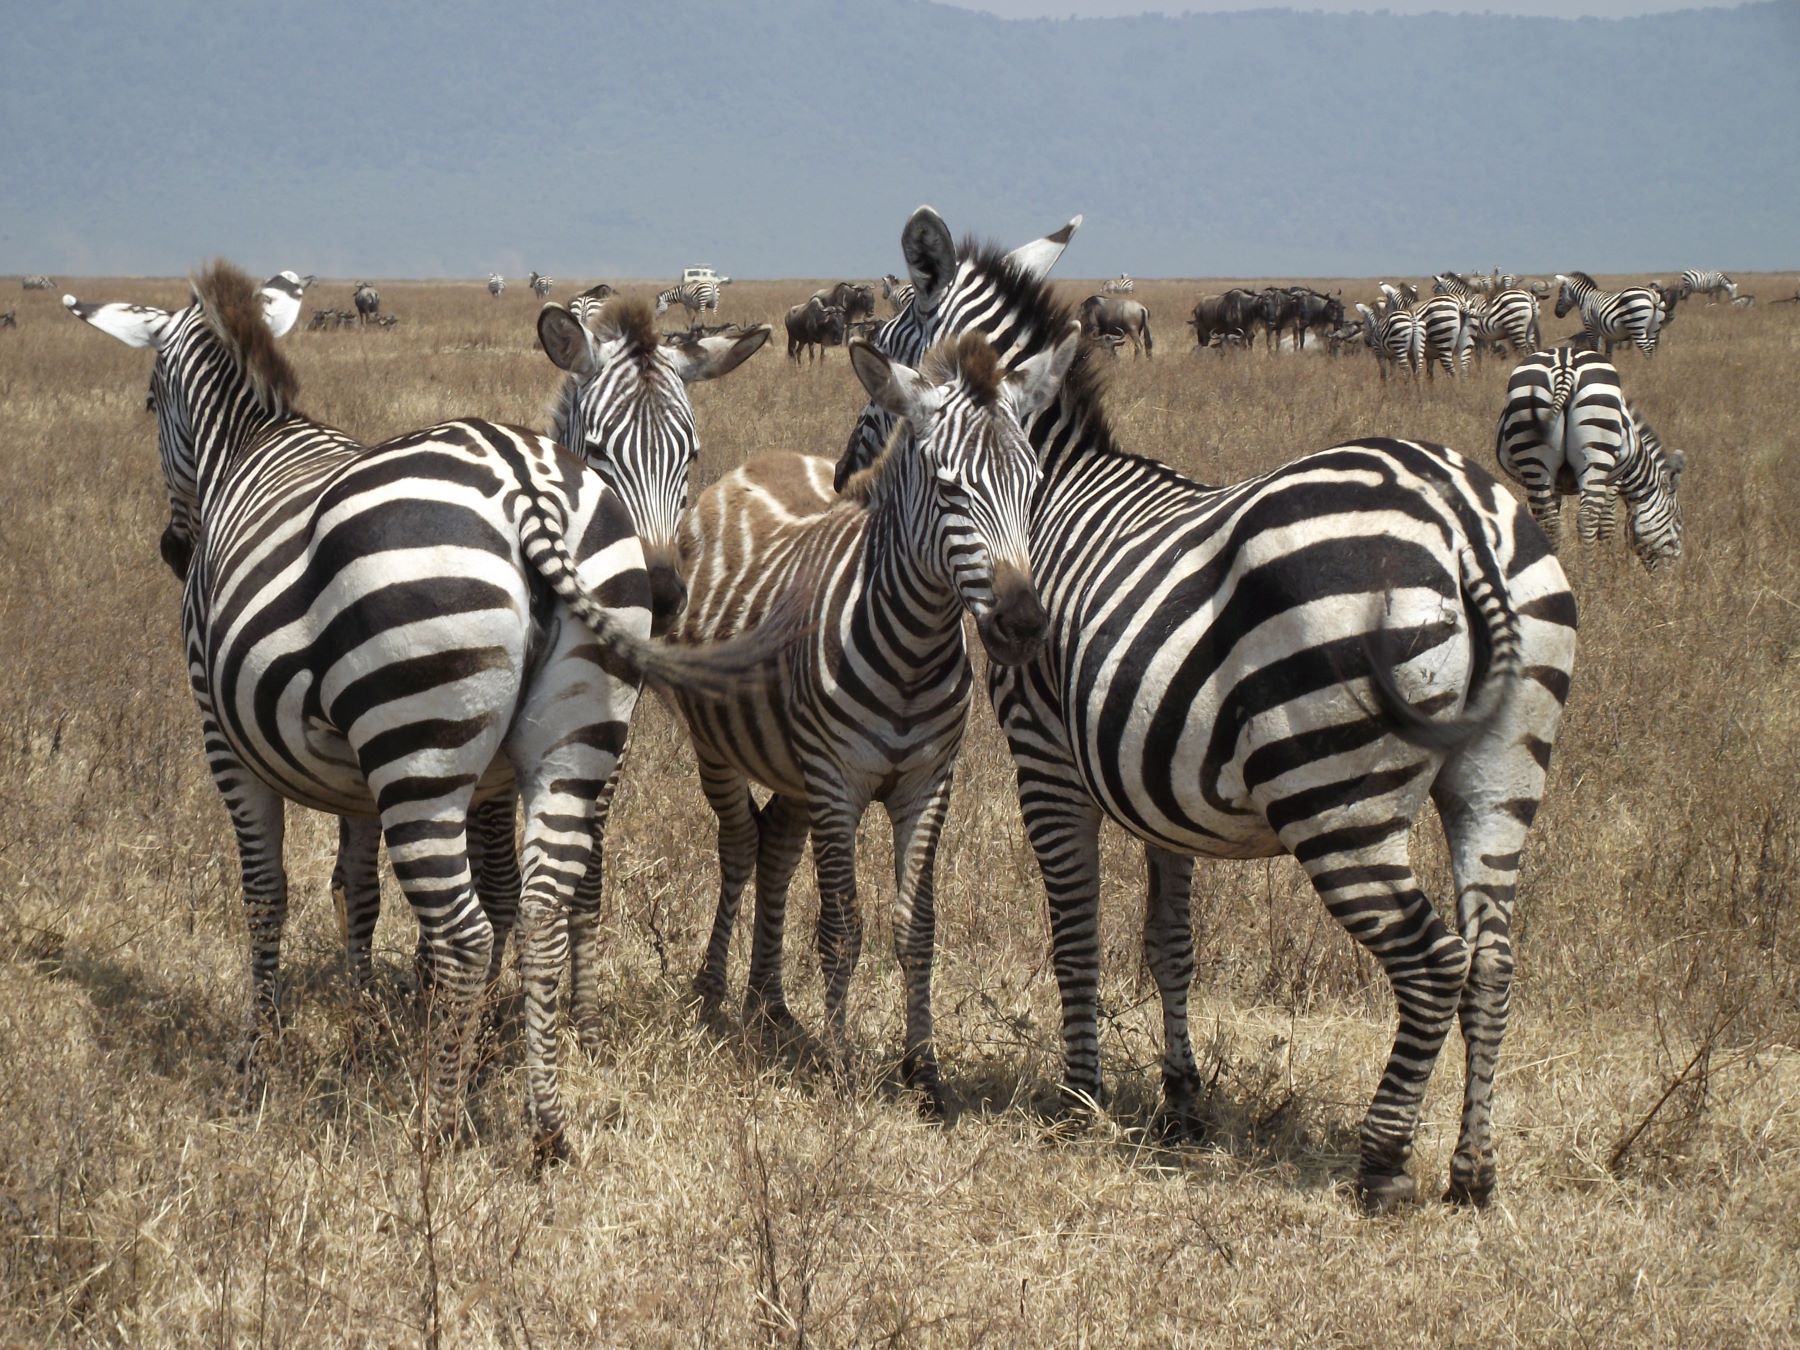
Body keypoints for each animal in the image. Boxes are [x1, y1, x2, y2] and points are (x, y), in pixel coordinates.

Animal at [64, 262, 790, 1159]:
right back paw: (543, 1122)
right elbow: (359, 884)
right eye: (602, 449)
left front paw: (257, 1053)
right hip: (562, 736)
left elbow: (268, 891)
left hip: (419, 747)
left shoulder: (224, 736)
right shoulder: (372, 772)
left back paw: (436, 1124)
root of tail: (526, 489)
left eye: (150, 401)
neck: (251, 446)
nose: (173, 551)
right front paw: (365, 1009)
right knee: (542, 907)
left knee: (468, 929)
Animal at [668, 326, 1074, 1108]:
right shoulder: (837, 783)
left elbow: (917, 928)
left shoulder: (927, 784)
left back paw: (770, 1006)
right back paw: (712, 994)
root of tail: (757, 462)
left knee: (775, 846)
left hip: (792, 768)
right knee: (739, 845)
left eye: (1035, 487)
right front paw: (839, 1065)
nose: (1021, 624)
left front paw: (925, 1073)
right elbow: (842, 927)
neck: (913, 651)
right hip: (720, 745)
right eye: (948, 489)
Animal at [839, 207, 1578, 1213]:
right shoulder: (1160, 777)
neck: (1051, 488)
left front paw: (1080, 1100)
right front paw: (1181, 1105)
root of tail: (1462, 516)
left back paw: (1382, 1162)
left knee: (1433, 961)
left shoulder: (1048, 761)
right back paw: (1472, 1170)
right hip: (1500, 771)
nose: (848, 468)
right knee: (1494, 962)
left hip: (1333, 793)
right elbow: (1169, 944)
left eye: (895, 336)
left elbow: (1078, 933)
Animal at [1496, 349, 1684, 571]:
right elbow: (1607, 524)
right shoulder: (1614, 480)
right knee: (1587, 517)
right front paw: (1610, 565)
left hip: (1533, 457)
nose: (1673, 575)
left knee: (1549, 521)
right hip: (1597, 453)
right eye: (1677, 522)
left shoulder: (1555, 484)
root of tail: (1564, 367)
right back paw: (1591, 574)